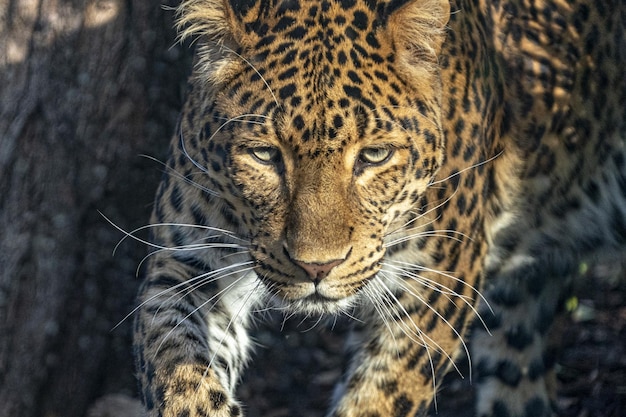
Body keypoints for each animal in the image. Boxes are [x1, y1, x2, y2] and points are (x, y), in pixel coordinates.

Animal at [133, 0, 624, 416]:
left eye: (374, 156)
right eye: (264, 155)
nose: (317, 268)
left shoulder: (436, 286)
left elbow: (381, 397)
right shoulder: (186, 260)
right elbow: (174, 355)